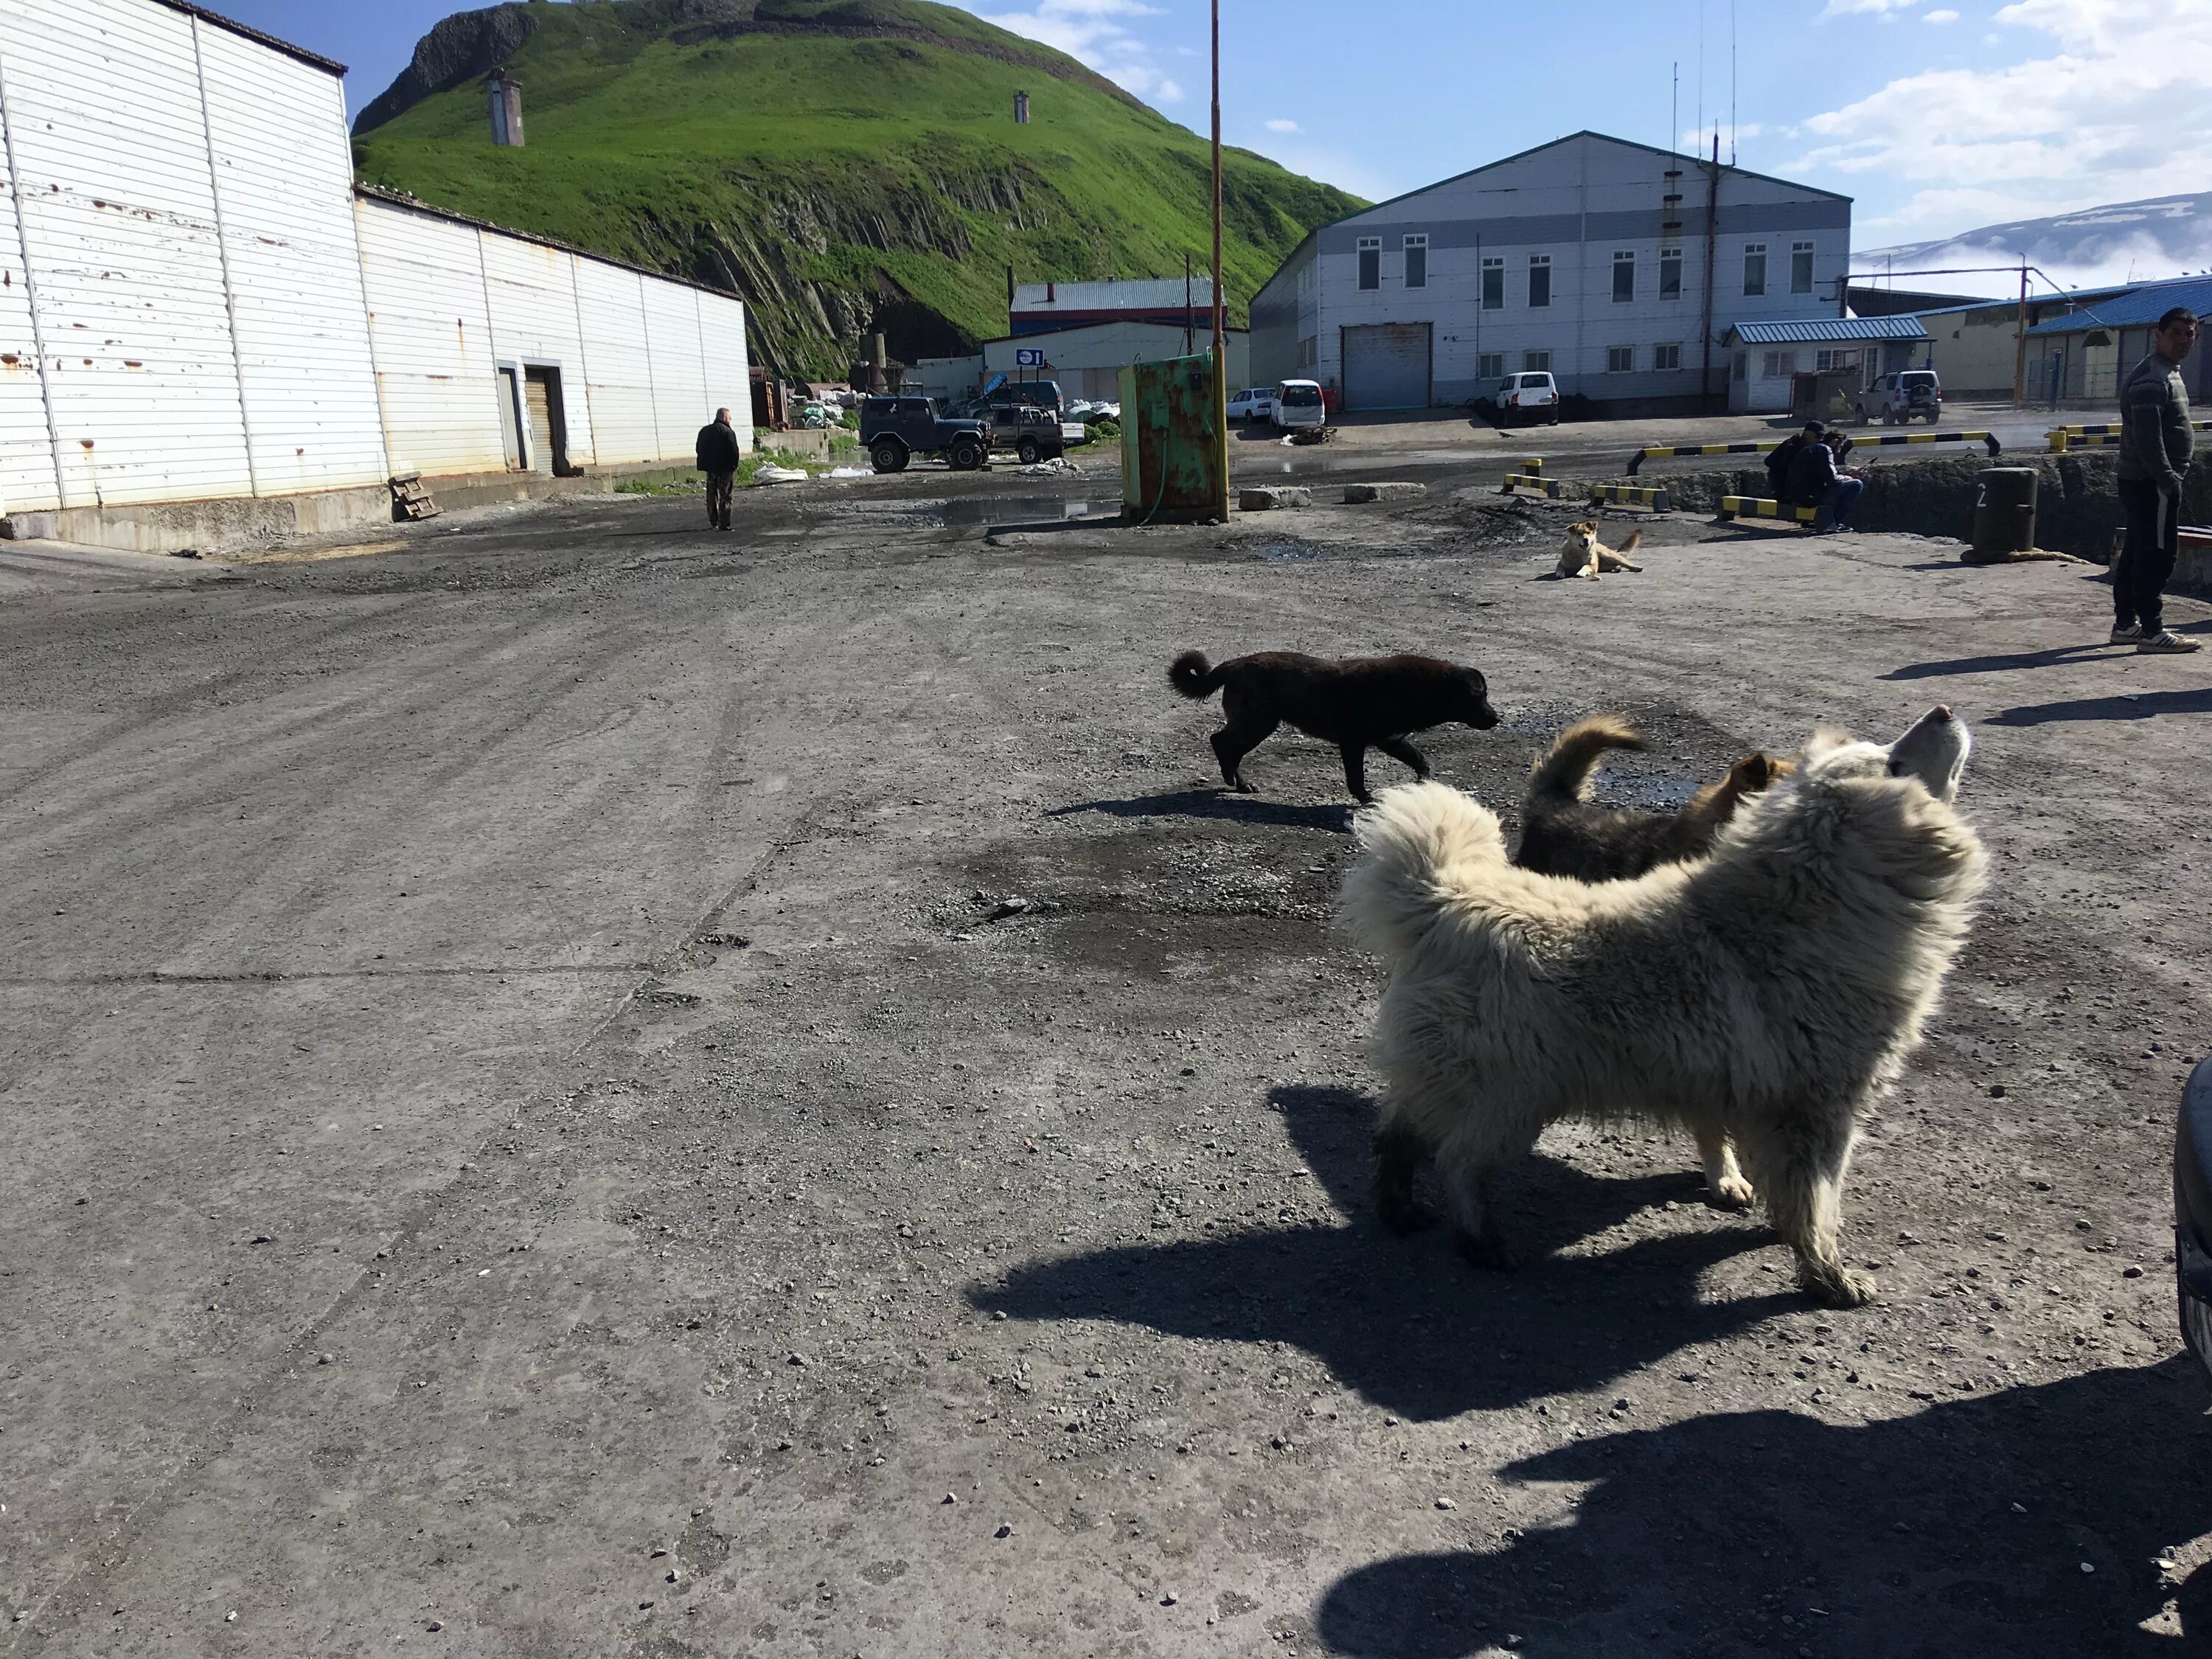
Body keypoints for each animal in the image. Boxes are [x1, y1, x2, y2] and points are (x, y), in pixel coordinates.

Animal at [1159, 650, 1504, 805]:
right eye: (1478, 696)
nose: (1497, 718)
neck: (1417, 688)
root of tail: (1234, 664)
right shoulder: (1353, 743)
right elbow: (1357, 779)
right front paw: (1367, 800)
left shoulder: (1391, 740)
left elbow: (1421, 761)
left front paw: (1423, 783)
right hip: (1257, 724)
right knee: (1220, 741)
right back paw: (1235, 781)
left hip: (1257, 724)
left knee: (1227, 746)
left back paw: (1238, 782)